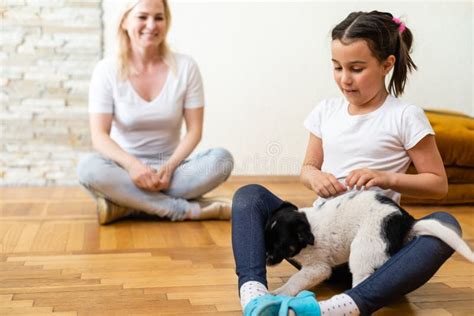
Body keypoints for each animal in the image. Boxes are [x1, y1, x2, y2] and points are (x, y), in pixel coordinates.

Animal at [266, 190, 474, 296]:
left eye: (280, 245)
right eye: (266, 238)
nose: (266, 259)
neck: (308, 230)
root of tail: (406, 221)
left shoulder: (318, 267)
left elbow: (296, 280)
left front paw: (280, 292)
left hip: (363, 250)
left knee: (363, 278)